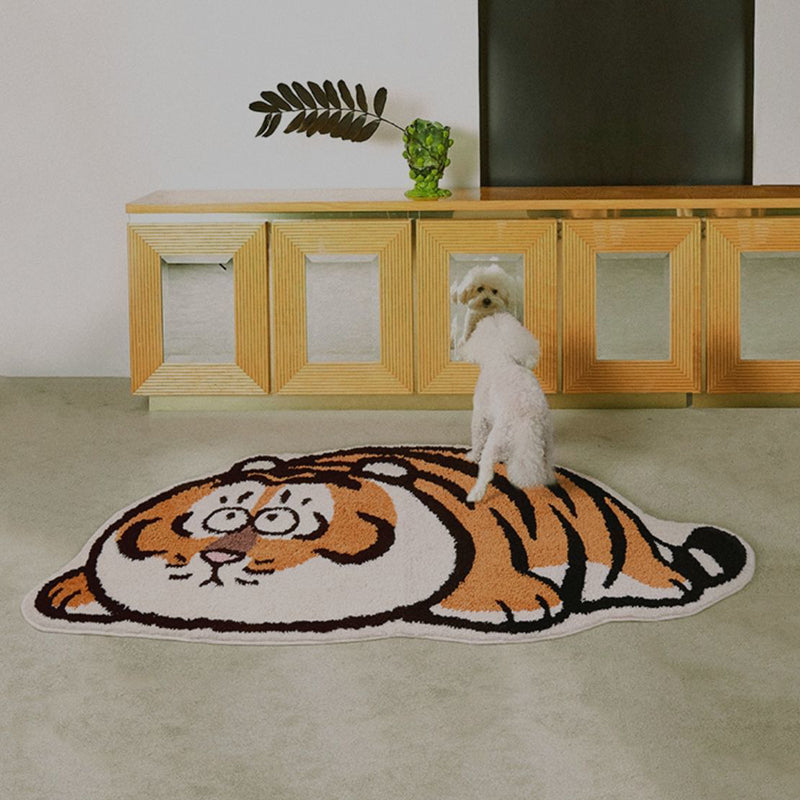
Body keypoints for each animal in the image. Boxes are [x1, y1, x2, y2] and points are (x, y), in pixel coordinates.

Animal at [28, 446, 754, 641]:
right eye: (219, 515)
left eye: (283, 522)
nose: (219, 557)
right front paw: (69, 589)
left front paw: (510, 600)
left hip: (616, 537)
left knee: (644, 561)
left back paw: (666, 584)